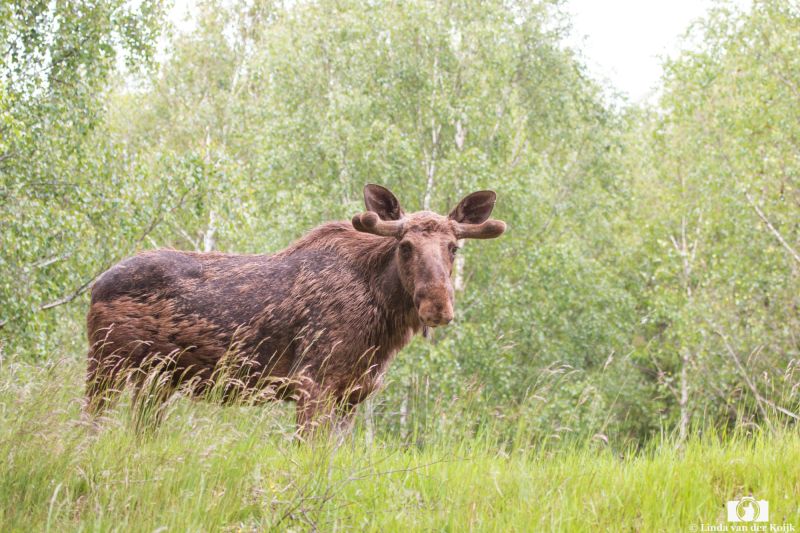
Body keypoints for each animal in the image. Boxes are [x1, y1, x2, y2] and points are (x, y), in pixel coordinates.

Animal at [85, 184, 506, 437]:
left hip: (155, 381)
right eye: (405, 246)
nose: (438, 305)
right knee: (90, 420)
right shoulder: (312, 382)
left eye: (453, 247)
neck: (382, 326)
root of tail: (95, 285)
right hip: (106, 363)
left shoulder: (352, 394)